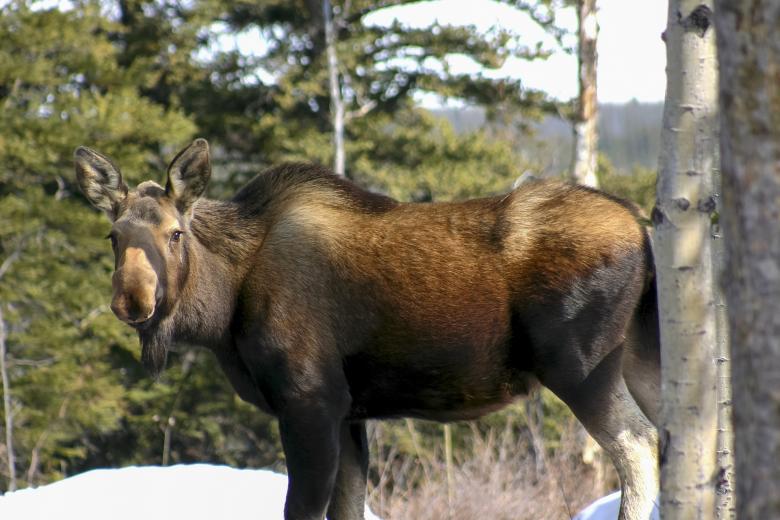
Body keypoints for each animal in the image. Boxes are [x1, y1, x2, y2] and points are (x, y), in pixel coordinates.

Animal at [75, 138, 660, 520]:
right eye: (112, 236)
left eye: (175, 233)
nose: (132, 300)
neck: (224, 310)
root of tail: (642, 224)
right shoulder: (351, 413)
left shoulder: (311, 400)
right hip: (642, 356)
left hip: (580, 365)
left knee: (638, 448)